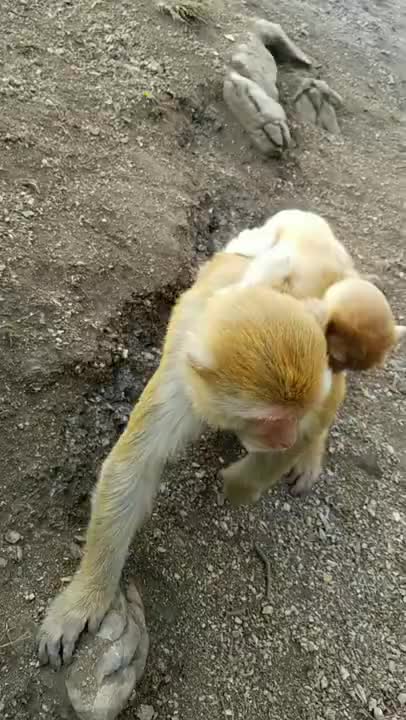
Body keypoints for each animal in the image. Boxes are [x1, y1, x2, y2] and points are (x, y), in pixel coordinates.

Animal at [38, 258, 336, 670]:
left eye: (289, 418)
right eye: (269, 419)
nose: (285, 438)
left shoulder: (317, 383)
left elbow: (316, 416)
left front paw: (243, 483)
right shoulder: (179, 380)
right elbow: (132, 466)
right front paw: (84, 598)